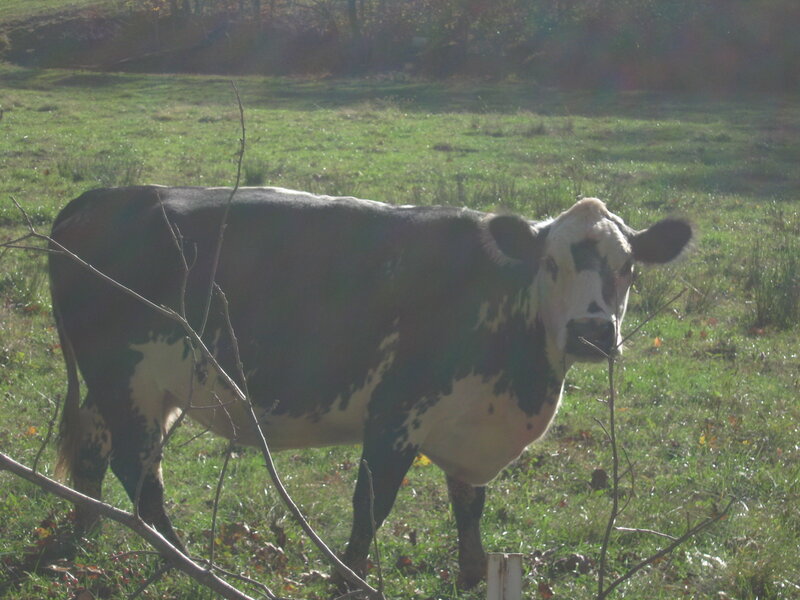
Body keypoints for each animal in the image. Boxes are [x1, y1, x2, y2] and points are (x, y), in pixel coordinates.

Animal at [48, 186, 692, 589]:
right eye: (551, 264)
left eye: (628, 267)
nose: (592, 332)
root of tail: (101, 198)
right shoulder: (394, 415)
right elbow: (371, 506)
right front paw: (349, 579)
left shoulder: (469, 426)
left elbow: (469, 506)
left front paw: (471, 573)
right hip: (126, 379)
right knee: (139, 470)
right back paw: (176, 557)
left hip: (133, 388)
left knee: (97, 453)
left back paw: (85, 532)